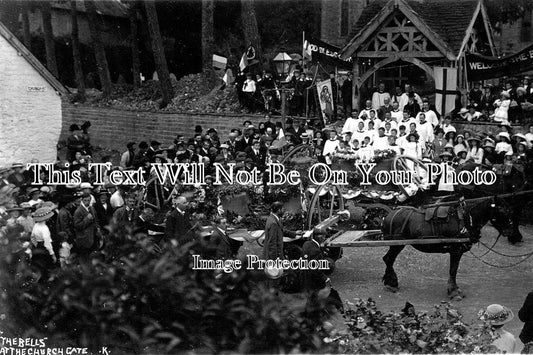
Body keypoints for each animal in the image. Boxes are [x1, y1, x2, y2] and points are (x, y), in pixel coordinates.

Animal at [380, 197, 512, 300]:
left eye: (508, 209)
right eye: (501, 210)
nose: (509, 231)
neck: (465, 219)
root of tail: (388, 216)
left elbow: (454, 270)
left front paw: (455, 289)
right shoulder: (456, 250)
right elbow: (453, 270)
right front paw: (453, 292)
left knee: (388, 259)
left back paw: (389, 282)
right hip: (397, 244)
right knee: (389, 259)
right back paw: (392, 283)